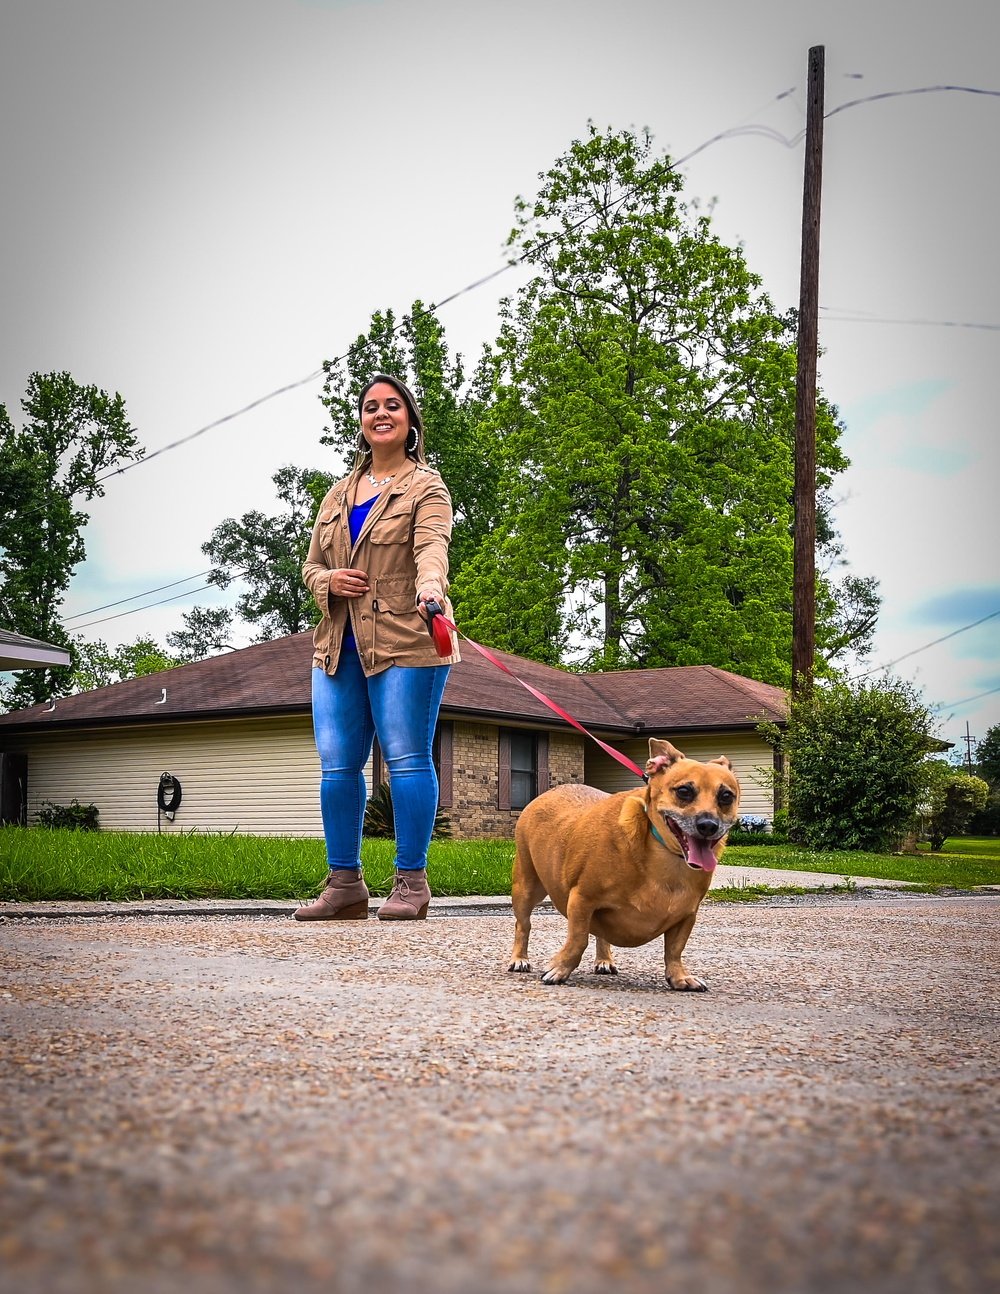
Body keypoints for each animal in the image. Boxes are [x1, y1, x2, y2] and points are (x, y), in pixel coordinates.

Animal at [512, 745, 734, 983]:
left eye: (727, 796)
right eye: (684, 791)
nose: (708, 825)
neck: (668, 860)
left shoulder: (686, 916)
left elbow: (674, 949)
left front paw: (679, 976)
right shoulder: (582, 900)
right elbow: (578, 939)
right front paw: (560, 968)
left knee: (602, 935)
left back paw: (604, 960)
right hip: (527, 888)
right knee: (523, 924)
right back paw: (519, 959)